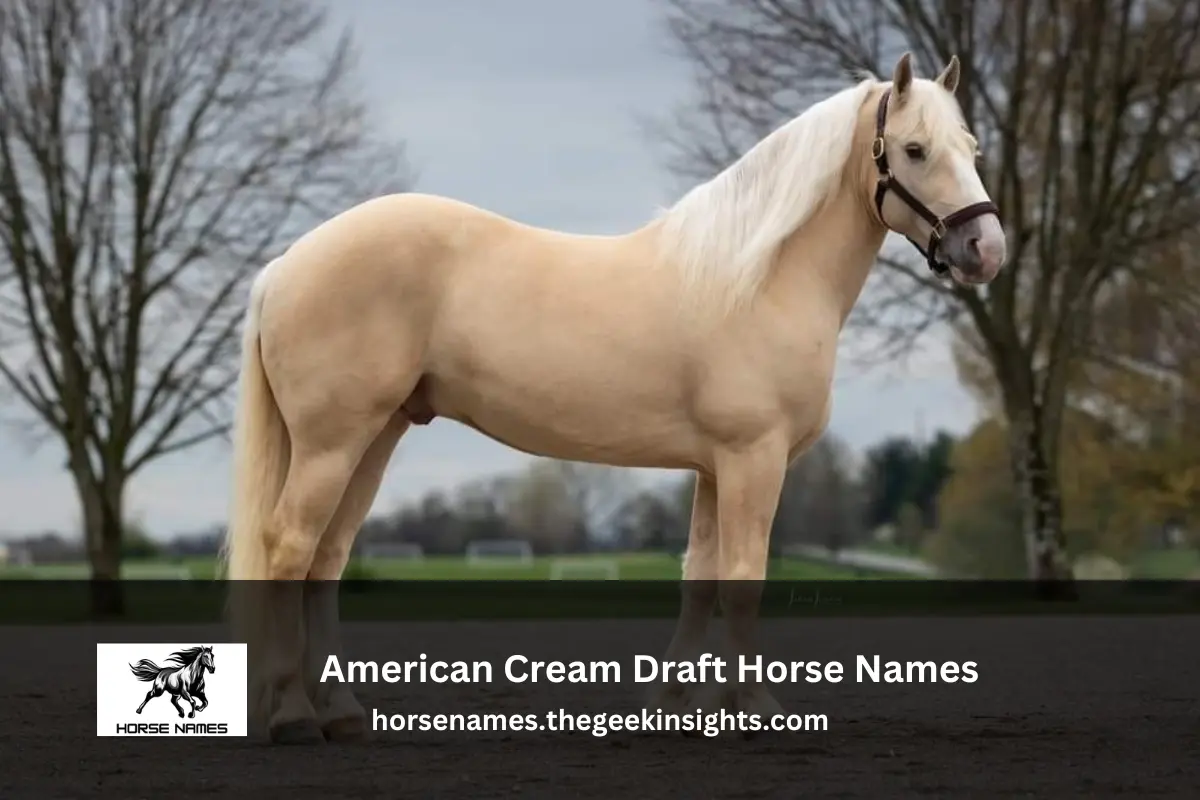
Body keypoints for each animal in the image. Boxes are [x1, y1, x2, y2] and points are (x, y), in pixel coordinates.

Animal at [221, 52, 1006, 745]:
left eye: (970, 147)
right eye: (913, 149)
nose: (987, 250)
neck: (757, 281)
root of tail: (288, 263)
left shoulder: (715, 468)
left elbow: (699, 579)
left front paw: (676, 707)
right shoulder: (753, 459)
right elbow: (743, 578)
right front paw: (754, 708)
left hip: (375, 436)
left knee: (327, 557)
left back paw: (340, 715)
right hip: (333, 442)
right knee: (291, 548)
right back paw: (293, 717)